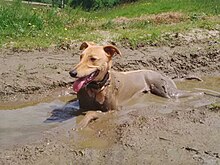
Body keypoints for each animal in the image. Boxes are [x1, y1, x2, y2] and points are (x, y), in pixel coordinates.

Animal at [69, 42, 202, 128]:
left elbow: (92, 112)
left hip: (166, 90)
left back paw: (200, 93)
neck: (96, 88)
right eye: (81, 56)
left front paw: (82, 123)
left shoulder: (113, 111)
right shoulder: (82, 106)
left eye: (93, 59)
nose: (72, 72)